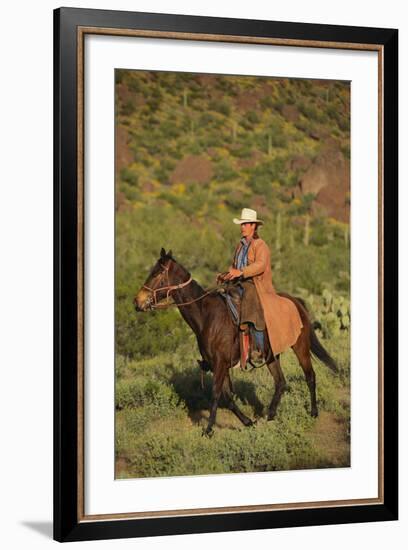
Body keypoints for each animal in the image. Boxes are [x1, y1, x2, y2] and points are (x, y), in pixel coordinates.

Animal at [134, 249, 338, 436]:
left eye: (156, 274)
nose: (137, 302)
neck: (207, 316)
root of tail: (296, 301)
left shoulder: (220, 363)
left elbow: (216, 394)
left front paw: (208, 430)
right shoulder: (219, 365)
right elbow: (227, 397)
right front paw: (248, 422)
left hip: (300, 347)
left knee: (310, 376)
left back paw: (313, 412)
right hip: (272, 356)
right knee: (280, 382)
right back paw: (270, 415)